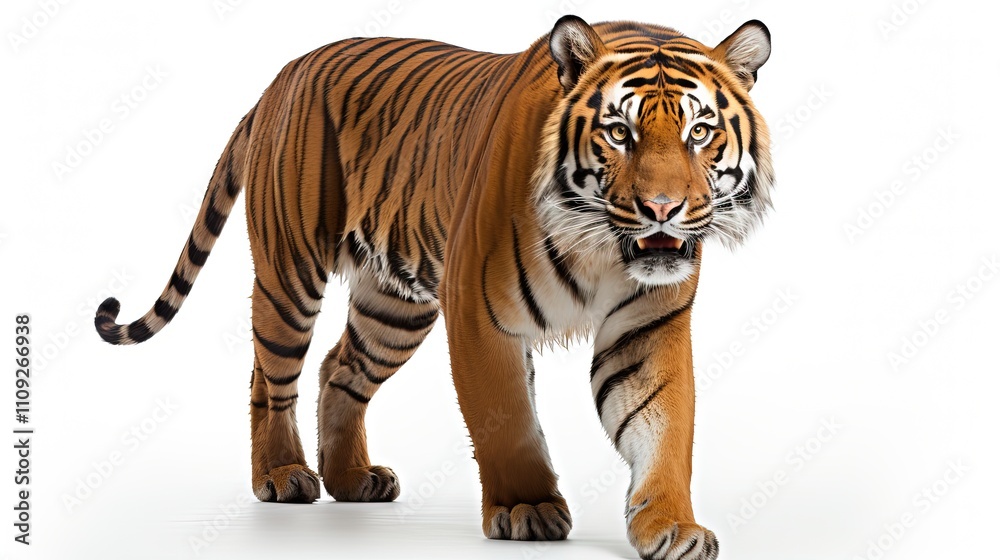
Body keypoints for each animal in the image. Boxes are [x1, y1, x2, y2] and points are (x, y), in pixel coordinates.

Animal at [95, 15, 773, 560]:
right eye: (619, 133)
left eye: (699, 133)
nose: (662, 209)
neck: (603, 248)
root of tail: (279, 79)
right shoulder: (479, 313)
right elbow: (507, 420)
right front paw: (526, 508)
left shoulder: (647, 328)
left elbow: (664, 427)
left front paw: (672, 528)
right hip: (291, 274)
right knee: (270, 376)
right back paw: (284, 475)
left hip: (393, 307)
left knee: (340, 369)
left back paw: (352, 480)